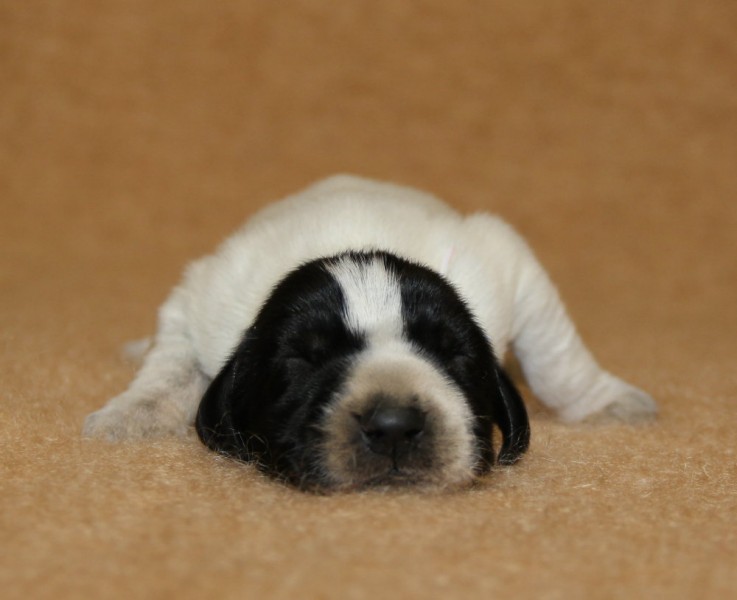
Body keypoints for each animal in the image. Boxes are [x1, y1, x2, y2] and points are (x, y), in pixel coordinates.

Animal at [82, 175, 656, 492]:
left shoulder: (508, 266)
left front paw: (609, 403)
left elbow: (556, 356)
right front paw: (134, 414)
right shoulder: (204, 297)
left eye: (451, 354)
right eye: (303, 361)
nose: (396, 425)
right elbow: (170, 362)